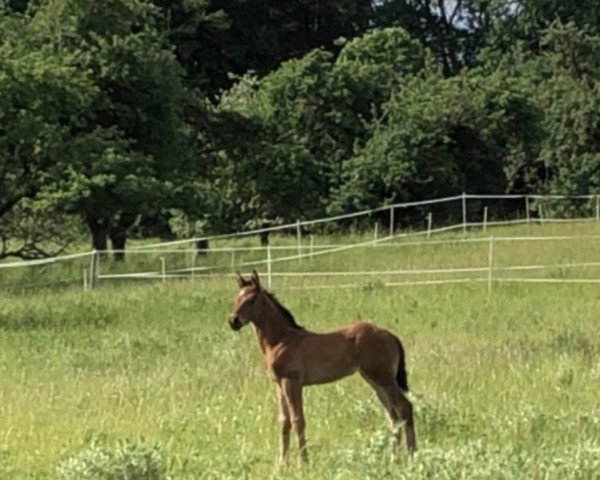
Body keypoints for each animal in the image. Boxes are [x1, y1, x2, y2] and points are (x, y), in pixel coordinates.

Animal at [227, 270, 414, 462]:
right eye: (236, 298)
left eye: (252, 300)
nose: (233, 321)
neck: (281, 340)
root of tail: (390, 335)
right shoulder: (278, 384)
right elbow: (284, 421)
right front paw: (282, 463)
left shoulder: (292, 382)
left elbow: (297, 420)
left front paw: (303, 462)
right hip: (374, 380)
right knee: (393, 414)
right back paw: (394, 458)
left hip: (383, 378)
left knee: (404, 407)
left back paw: (412, 454)